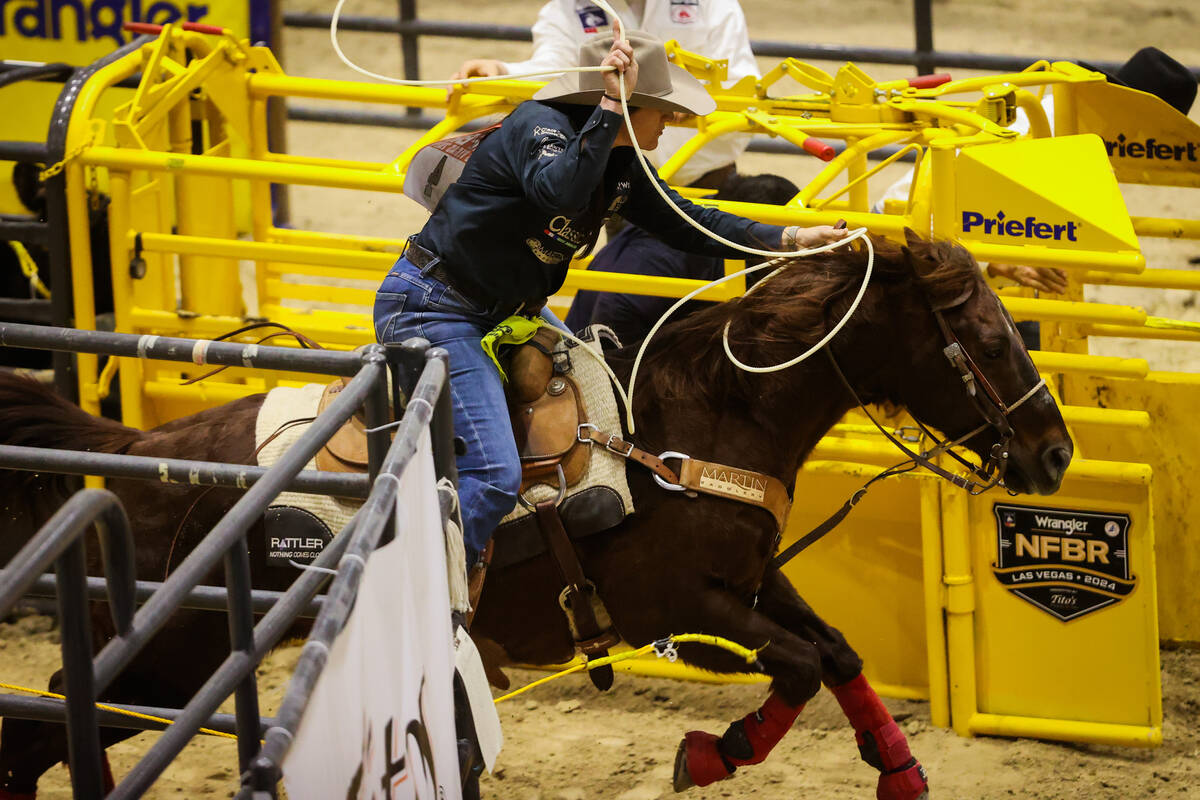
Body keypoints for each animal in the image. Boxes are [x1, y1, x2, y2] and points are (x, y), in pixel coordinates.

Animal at [0, 230, 1070, 796]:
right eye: (987, 337)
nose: (1056, 452)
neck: (702, 418)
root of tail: (134, 452)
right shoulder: (675, 604)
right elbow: (801, 663)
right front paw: (709, 752)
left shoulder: (752, 575)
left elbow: (837, 652)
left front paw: (898, 767)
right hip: (166, 663)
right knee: (49, 717)